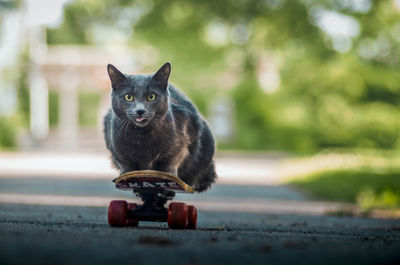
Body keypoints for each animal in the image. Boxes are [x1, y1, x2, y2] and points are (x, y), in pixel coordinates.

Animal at [101, 62, 217, 191]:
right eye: (128, 97)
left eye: (151, 96)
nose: (140, 110)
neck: (142, 137)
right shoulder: (117, 151)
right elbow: (126, 166)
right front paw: (126, 176)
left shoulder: (179, 146)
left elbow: (171, 163)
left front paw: (169, 178)